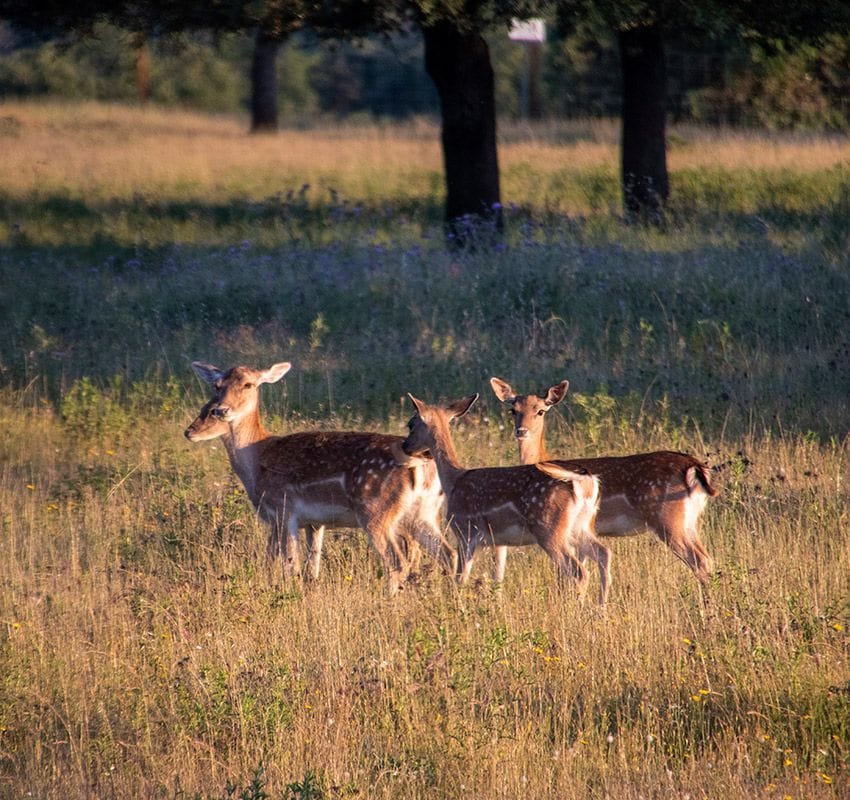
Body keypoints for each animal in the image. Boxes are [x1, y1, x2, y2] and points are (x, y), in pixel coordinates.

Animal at [182, 362, 454, 592]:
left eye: (248, 384)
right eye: (217, 386)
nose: (221, 410)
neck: (257, 459)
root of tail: (421, 465)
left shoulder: (284, 510)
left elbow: (288, 564)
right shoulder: (314, 522)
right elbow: (310, 567)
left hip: (375, 510)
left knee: (397, 561)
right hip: (423, 512)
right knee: (449, 553)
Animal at [400, 390, 608, 604]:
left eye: (411, 424)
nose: (405, 446)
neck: (454, 480)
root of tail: (586, 482)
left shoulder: (466, 531)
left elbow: (460, 580)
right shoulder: (498, 542)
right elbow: (497, 578)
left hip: (549, 527)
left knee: (578, 570)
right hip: (581, 525)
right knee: (603, 553)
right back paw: (600, 606)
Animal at [490, 378, 716, 584]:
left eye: (540, 411)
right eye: (513, 410)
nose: (521, 431)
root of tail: (694, 467)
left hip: (667, 517)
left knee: (698, 560)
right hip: (690, 519)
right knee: (707, 558)